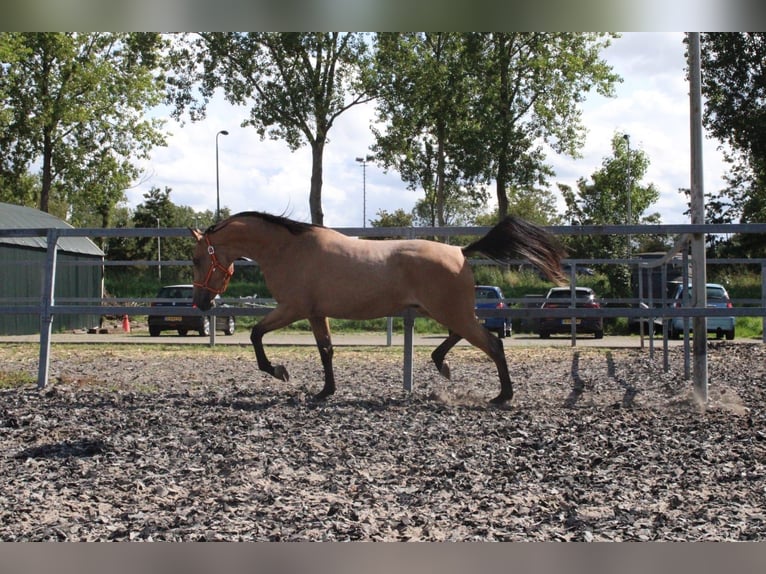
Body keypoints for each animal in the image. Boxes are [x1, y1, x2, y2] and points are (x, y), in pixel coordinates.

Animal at [189, 212, 568, 404]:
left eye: (195, 259)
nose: (200, 304)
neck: (288, 250)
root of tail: (460, 252)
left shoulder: (293, 308)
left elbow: (256, 334)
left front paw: (280, 371)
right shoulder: (315, 312)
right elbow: (326, 349)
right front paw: (326, 391)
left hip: (449, 310)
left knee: (492, 343)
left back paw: (502, 396)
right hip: (441, 310)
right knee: (465, 336)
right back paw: (443, 366)